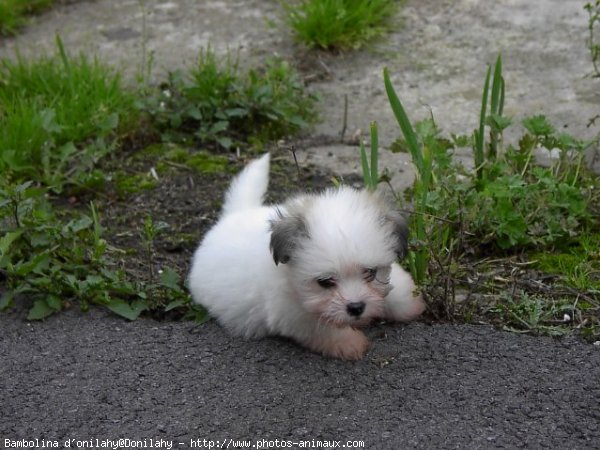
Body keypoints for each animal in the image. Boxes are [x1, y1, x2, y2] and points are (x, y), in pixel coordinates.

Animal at [189, 153, 426, 360]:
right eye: (325, 282)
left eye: (370, 273)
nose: (356, 307)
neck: (290, 280)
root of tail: (232, 216)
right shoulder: (294, 314)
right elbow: (323, 327)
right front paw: (350, 343)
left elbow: (397, 288)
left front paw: (411, 304)